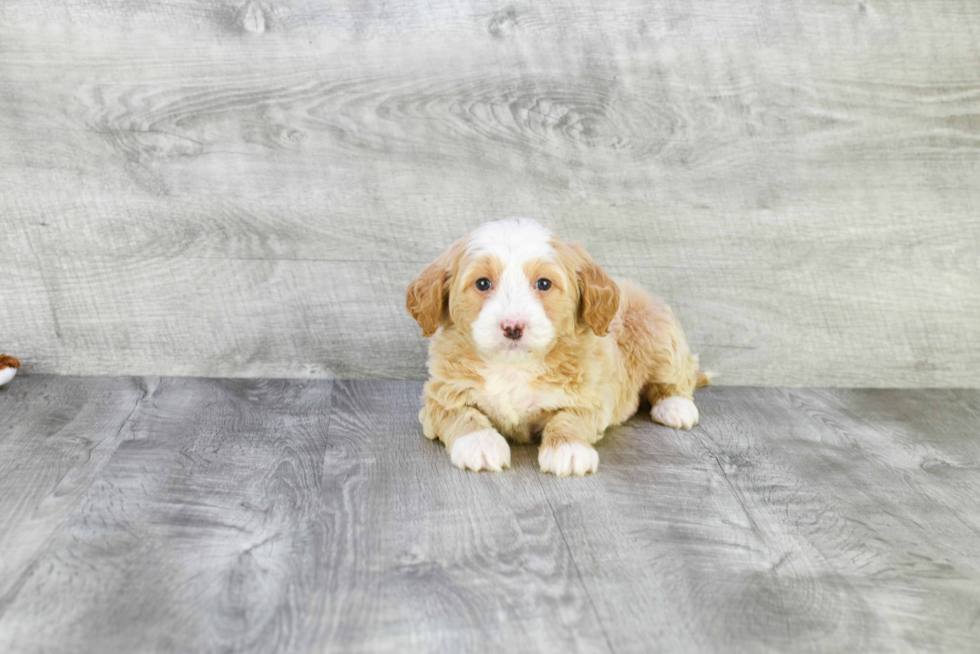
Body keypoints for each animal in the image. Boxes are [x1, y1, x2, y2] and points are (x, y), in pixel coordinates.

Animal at [402, 219, 708, 476]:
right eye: (483, 283)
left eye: (544, 283)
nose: (512, 327)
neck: (513, 366)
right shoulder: (441, 394)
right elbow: (462, 414)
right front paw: (479, 443)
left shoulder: (589, 397)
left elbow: (567, 419)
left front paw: (568, 449)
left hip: (659, 338)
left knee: (679, 375)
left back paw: (676, 406)